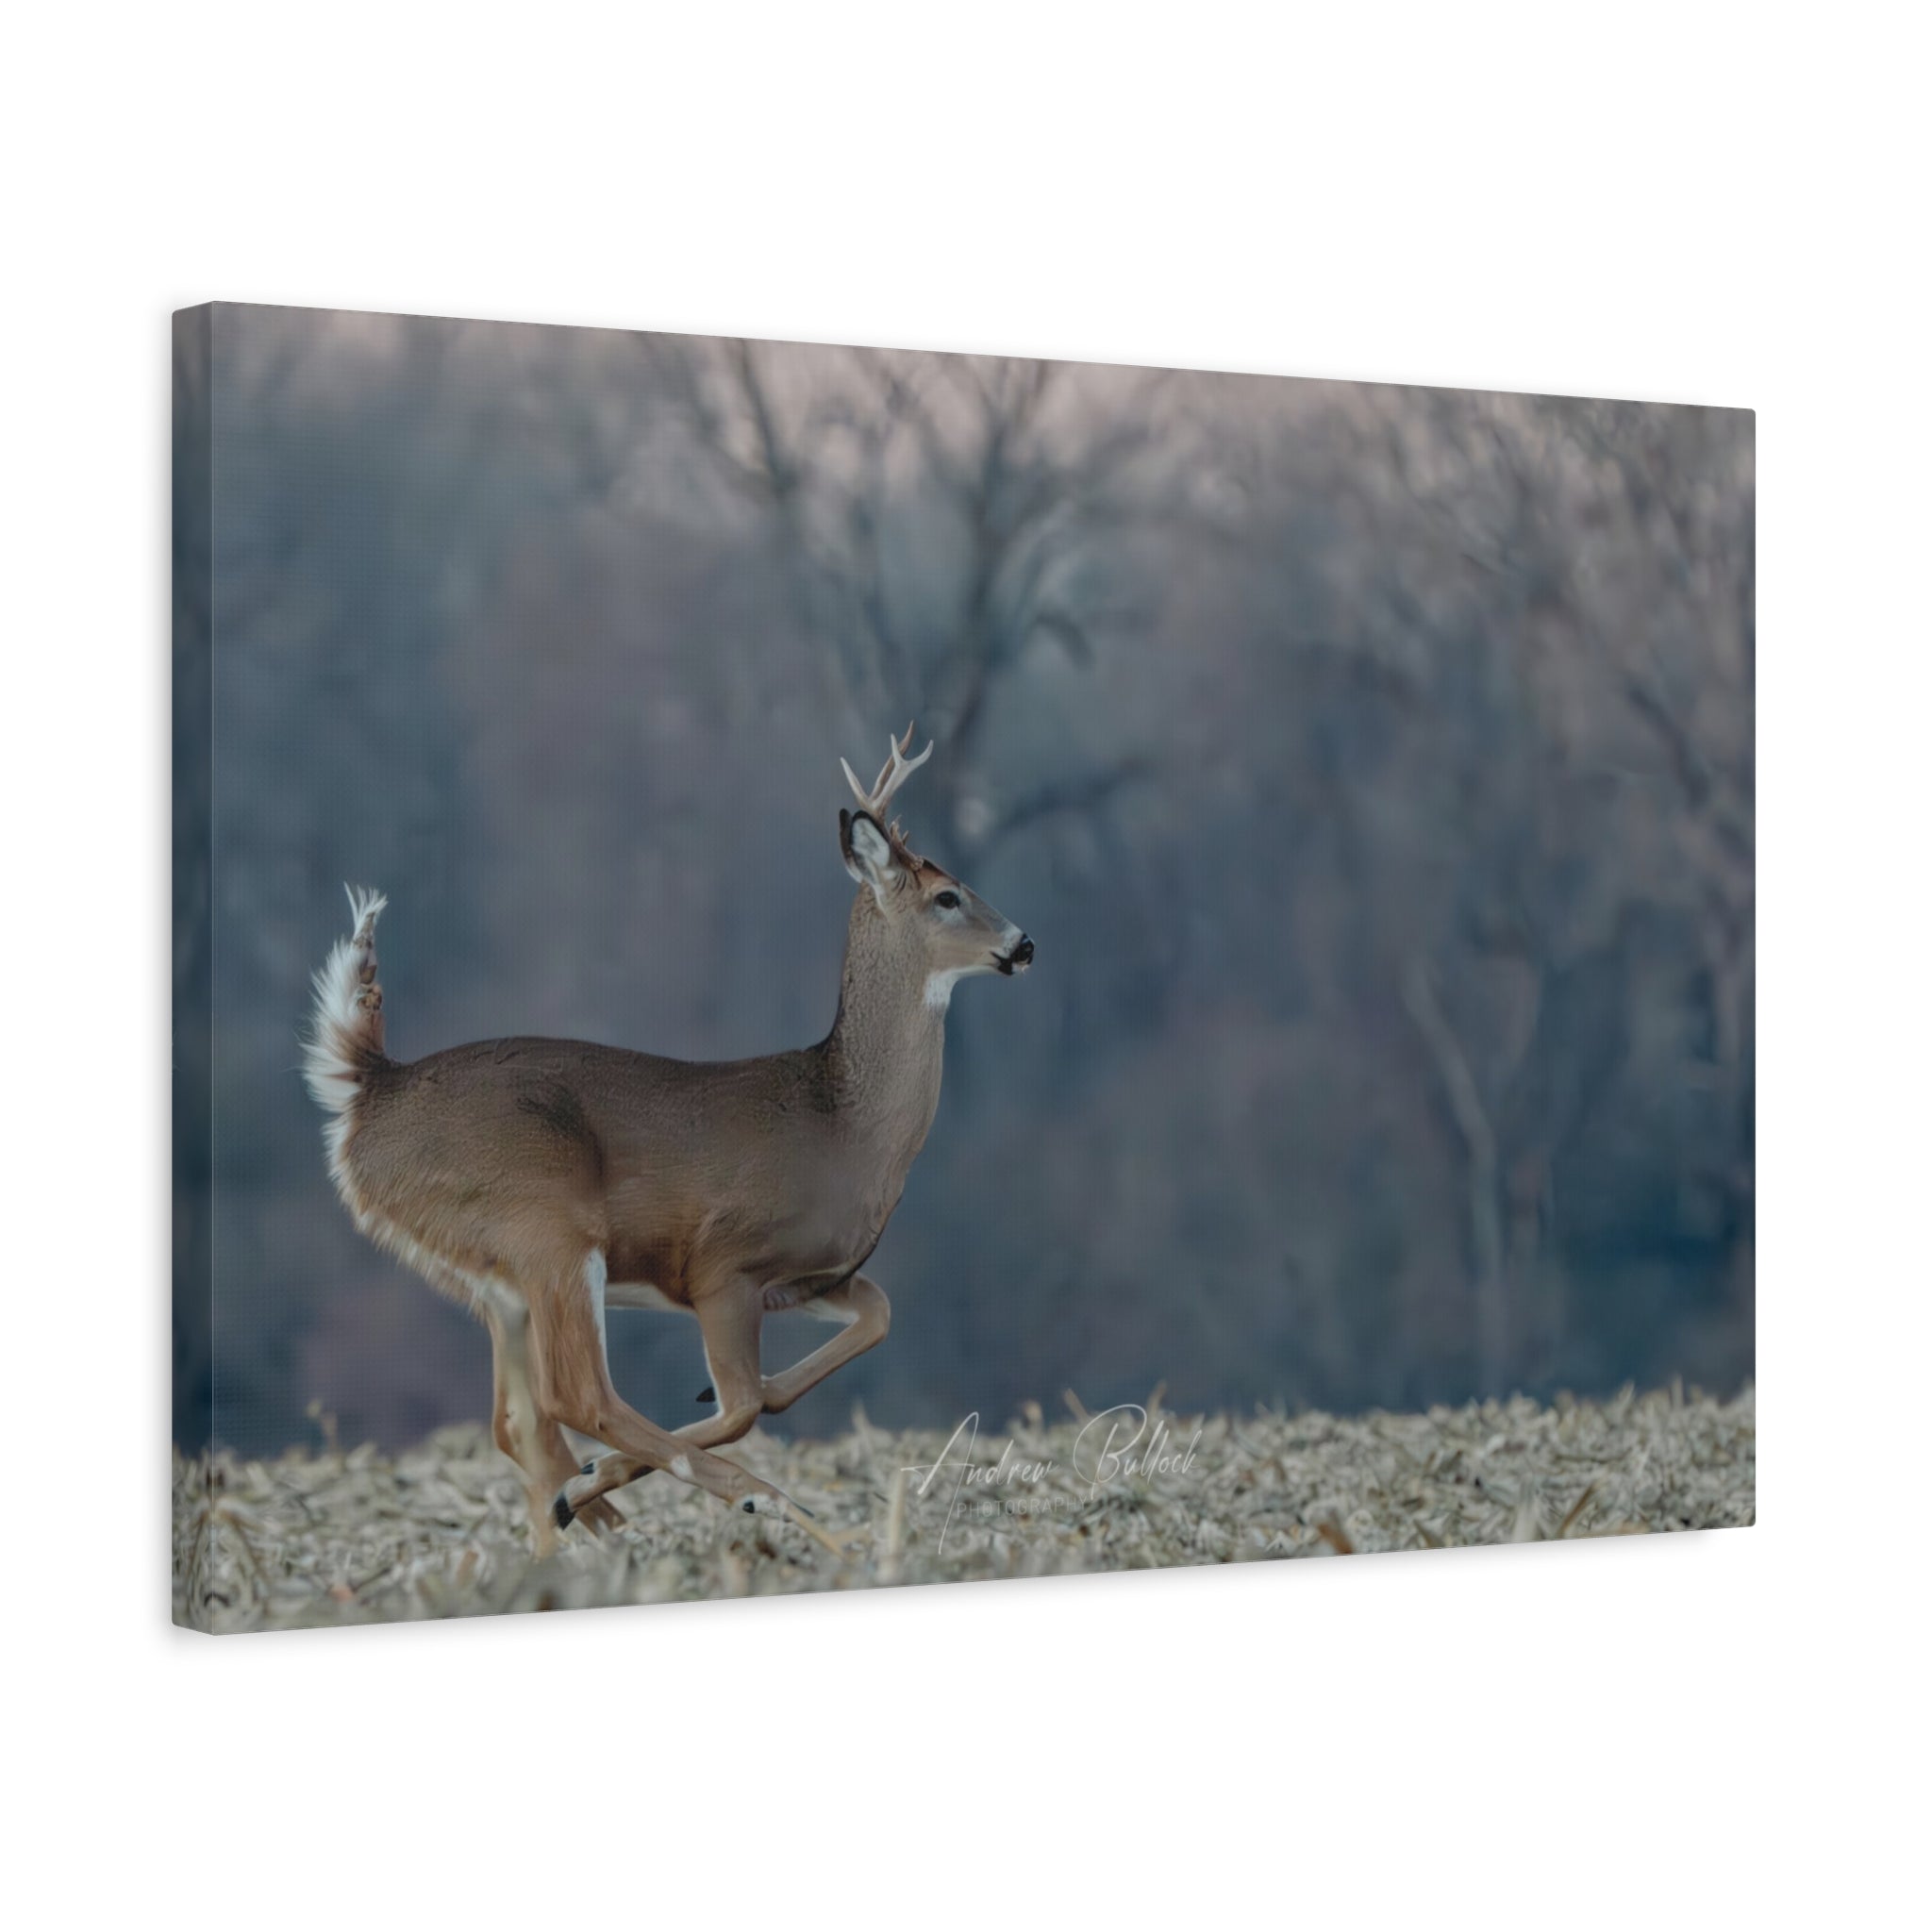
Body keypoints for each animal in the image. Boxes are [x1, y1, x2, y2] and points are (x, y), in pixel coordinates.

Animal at [303, 726, 1032, 1555]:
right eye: (948, 896)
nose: (1025, 944)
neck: (846, 1124)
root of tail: (370, 1088)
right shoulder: (723, 1266)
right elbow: (745, 1404)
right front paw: (655, 1466)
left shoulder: (809, 1277)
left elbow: (868, 1320)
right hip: (547, 1227)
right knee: (576, 1396)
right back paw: (746, 1505)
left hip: (498, 1280)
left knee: (518, 1421)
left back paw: (577, 1530)